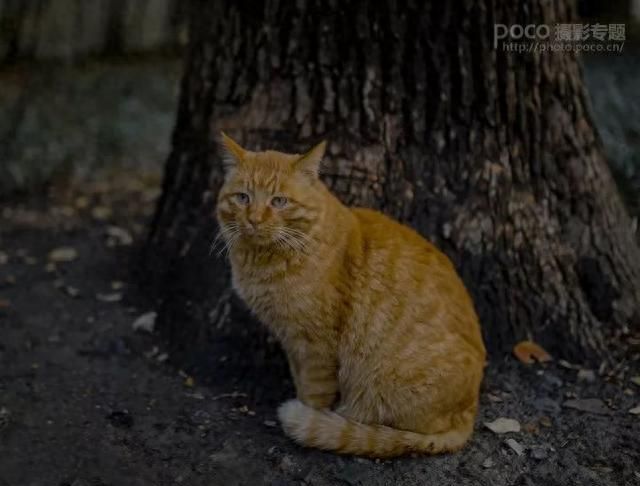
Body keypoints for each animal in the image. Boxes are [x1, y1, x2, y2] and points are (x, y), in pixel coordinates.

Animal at [215, 132, 484, 456]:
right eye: (243, 197)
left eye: (278, 201)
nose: (254, 219)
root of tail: (469, 414)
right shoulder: (293, 342)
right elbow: (300, 380)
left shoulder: (316, 345)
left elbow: (314, 394)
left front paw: (310, 416)